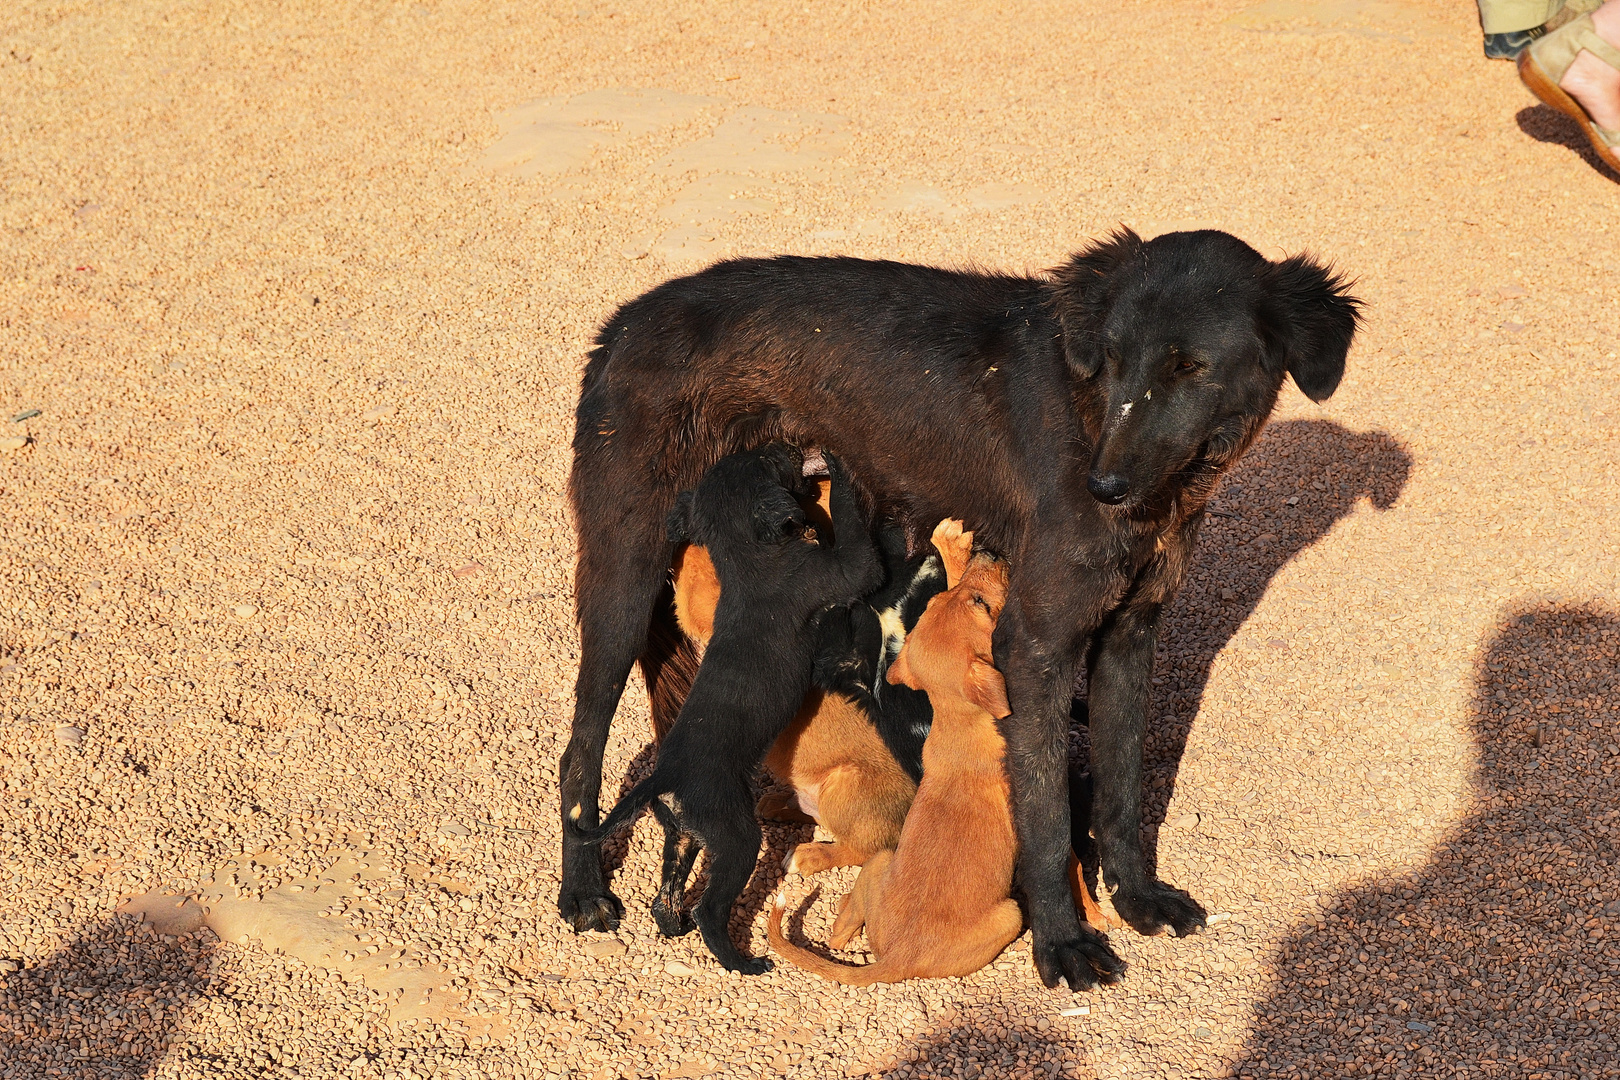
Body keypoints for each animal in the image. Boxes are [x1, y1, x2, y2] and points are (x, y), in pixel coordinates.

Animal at [583, 440, 881, 971]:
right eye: (769, 460)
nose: (788, 444)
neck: (749, 559)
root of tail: (663, 777)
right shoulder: (843, 570)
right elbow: (852, 530)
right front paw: (838, 465)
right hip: (737, 836)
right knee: (711, 908)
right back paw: (743, 960)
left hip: (683, 834)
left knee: (667, 895)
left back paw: (674, 925)